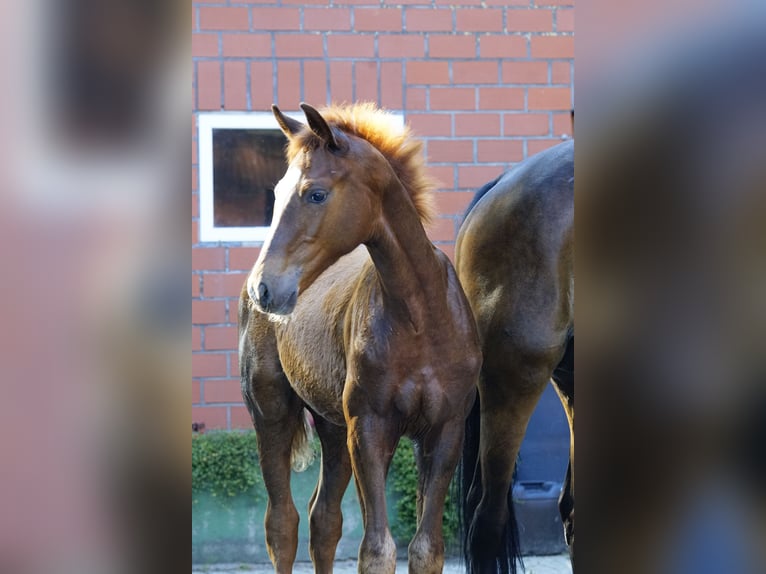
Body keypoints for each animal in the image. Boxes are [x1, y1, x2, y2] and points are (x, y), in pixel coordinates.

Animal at [240, 104, 484, 574]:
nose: (264, 288)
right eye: (276, 193)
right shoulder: (369, 428)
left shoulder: (445, 431)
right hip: (272, 412)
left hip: (333, 426)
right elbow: (376, 550)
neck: (421, 318)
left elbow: (425, 549)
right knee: (282, 524)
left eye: (316, 194)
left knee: (323, 520)